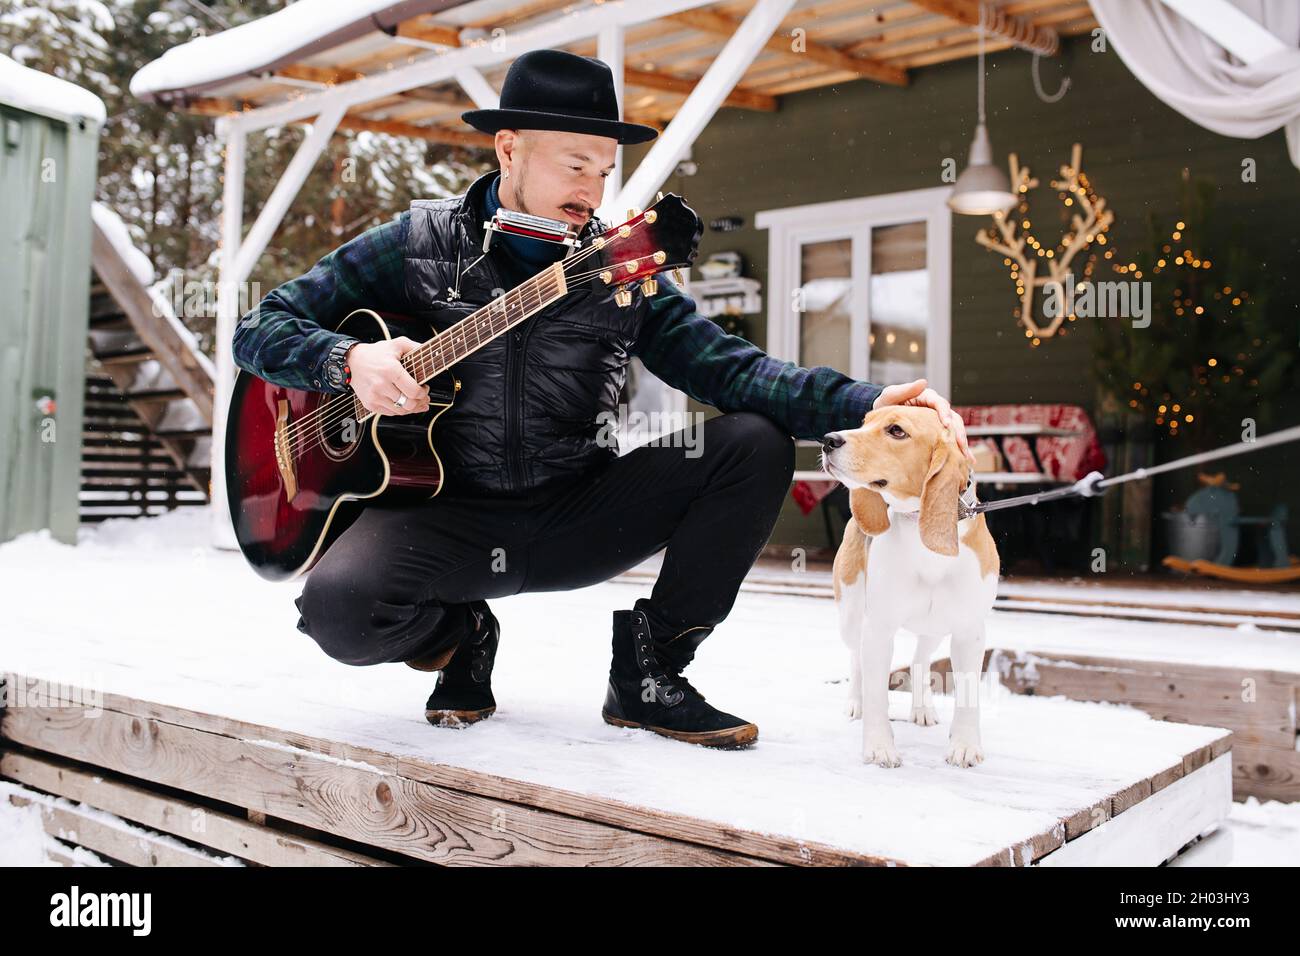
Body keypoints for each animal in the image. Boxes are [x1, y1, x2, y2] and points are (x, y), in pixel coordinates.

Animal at [826, 405, 998, 770]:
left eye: (896, 431)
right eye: (864, 422)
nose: (828, 439)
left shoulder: (969, 632)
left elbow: (968, 695)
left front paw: (964, 745)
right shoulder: (878, 628)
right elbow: (877, 693)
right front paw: (879, 747)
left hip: (936, 626)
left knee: (921, 659)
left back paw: (921, 707)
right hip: (850, 615)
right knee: (856, 657)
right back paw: (855, 701)